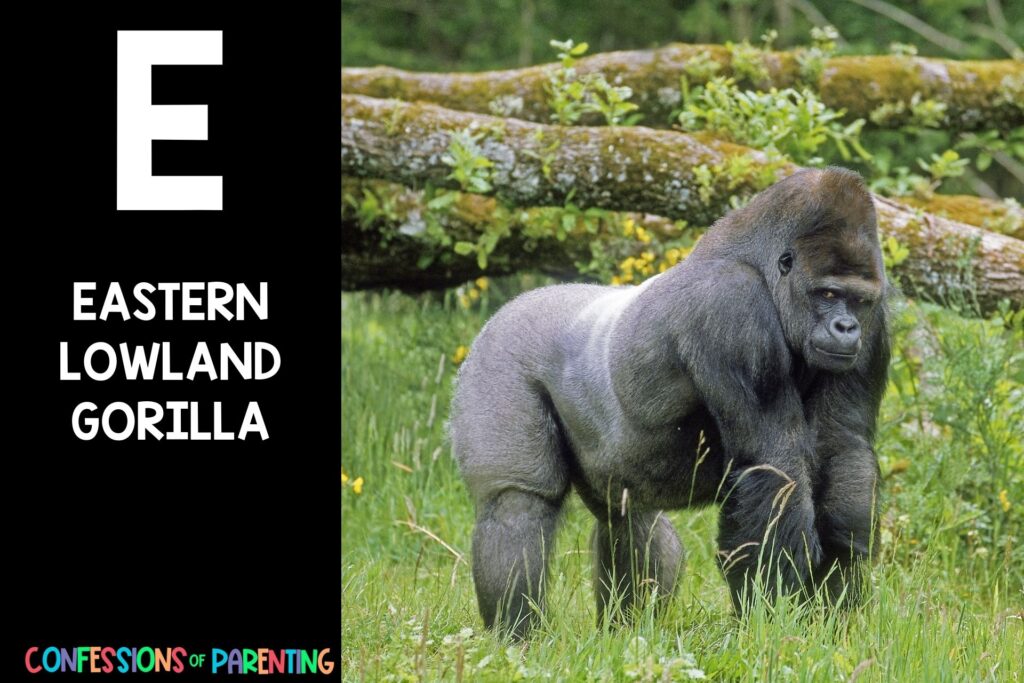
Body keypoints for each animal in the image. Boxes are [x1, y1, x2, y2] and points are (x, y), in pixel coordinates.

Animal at [449, 167, 889, 638]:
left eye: (858, 300)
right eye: (827, 294)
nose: (846, 327)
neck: (760, 266)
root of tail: (511, 307)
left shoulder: (875, 320)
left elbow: (842, 448)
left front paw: (835, 603)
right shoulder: (731, 304)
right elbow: (773, 465)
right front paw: (771, 619)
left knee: (629, 518)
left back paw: (624, 629)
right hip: (498, 357)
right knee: (518, 502)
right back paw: (518, 633)